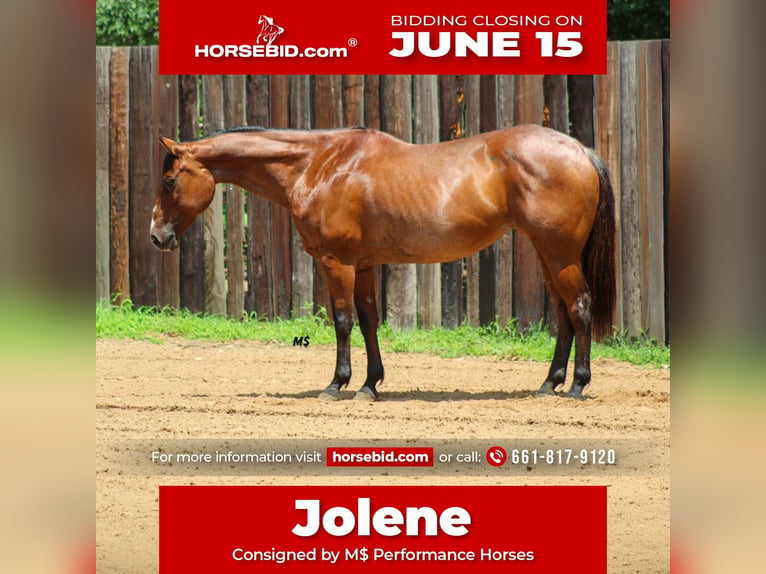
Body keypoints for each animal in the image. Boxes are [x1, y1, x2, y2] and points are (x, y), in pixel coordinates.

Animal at [151, 125, 616, 401]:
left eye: (169, 181)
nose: (157, 236)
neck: (318, 165)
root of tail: (579, 149)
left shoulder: (336, 262)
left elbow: (342, 321)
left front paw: (336, 384)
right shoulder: (362, 266)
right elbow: (369, 320)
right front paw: (370, 384)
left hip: (559, 255)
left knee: (579, 307)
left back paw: (577, 385)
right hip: (548, 255)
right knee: (563, 314)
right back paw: (548, 383)